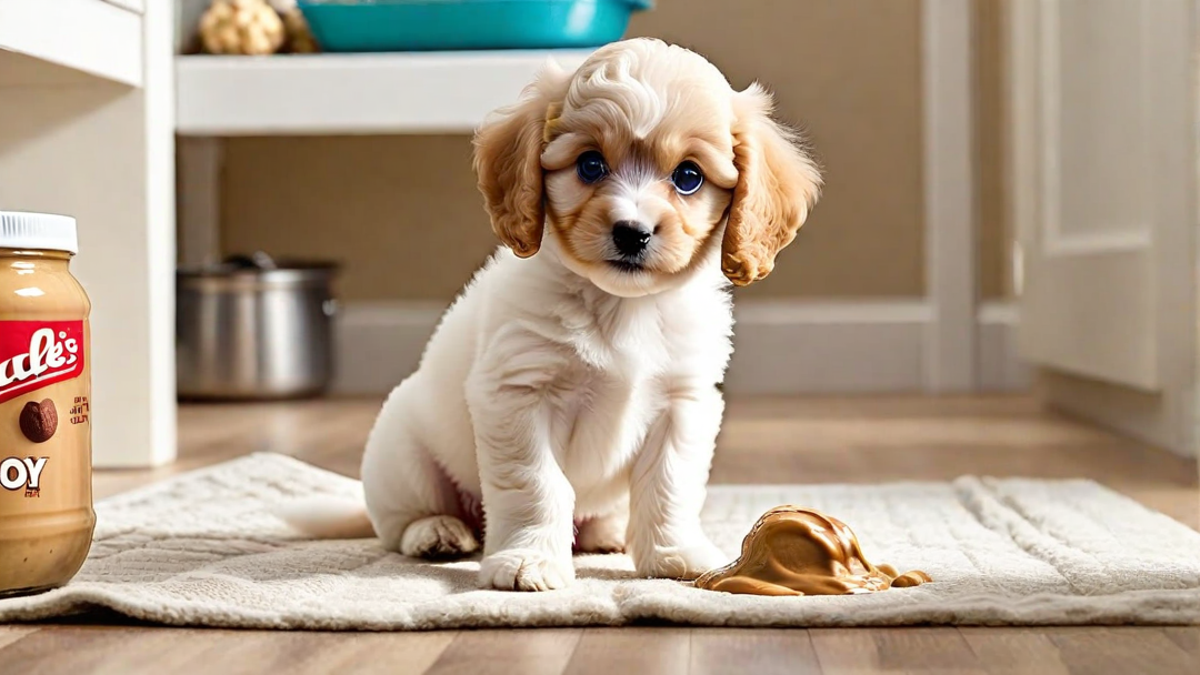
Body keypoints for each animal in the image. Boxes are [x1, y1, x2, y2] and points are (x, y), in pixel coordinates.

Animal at [285, 36, 820, 588]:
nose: (632, 232)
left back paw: (608, 534)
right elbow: (537, 484)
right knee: (399, 521)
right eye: (590, 165)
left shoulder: (684, 403)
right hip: (402, 456)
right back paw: (436, 532)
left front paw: (675, 554)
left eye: (689, 177)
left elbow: (669, 483)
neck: (622, 306)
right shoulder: (517, 394)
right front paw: (530, 560)